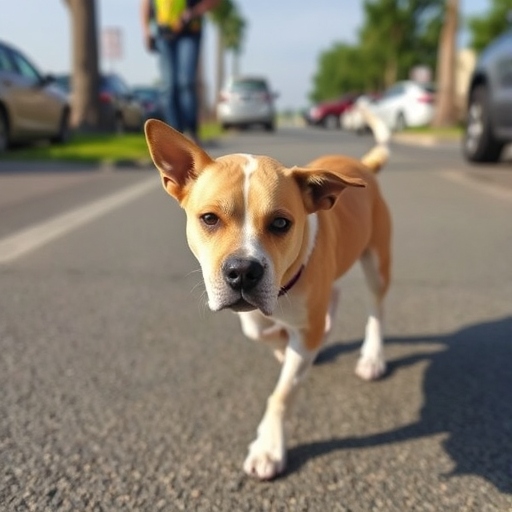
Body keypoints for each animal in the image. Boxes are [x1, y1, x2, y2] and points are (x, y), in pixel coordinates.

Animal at [144, 112, 392, 480]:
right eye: (209, 218)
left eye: (280, 223)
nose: (243, 271)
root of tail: (362, 165)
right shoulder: (262, 313)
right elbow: (260, 331)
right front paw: (281, 346)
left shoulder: (303, 325)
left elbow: (283, 393)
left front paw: (268, 448)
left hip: (377, 263)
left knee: (376, 310)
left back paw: (372, 357)